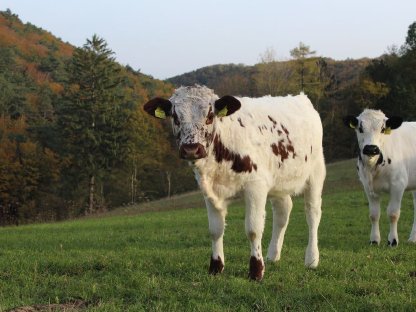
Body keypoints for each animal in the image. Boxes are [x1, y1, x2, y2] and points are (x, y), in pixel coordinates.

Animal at [145, 85, 326, 280]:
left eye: (210, 115)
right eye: (175, 117)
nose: (191, 149)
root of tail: (300, 97)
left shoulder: (256, 186)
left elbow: (253, 230)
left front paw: (256, 271)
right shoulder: (209, 192)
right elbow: (215, 230)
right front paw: (216, 267)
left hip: (316, 172)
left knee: (313, 213)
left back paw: (311, 259)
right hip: (279, 182)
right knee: (282, 212)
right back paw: (273, 256)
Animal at [342, 109, 416, 246]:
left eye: (382, 129)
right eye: (360, 128)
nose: (371, 148)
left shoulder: (398, 185)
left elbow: (393, 213)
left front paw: (393, 241)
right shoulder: (368, 187)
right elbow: (374, 214)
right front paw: (374, 240)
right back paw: (413, 239)